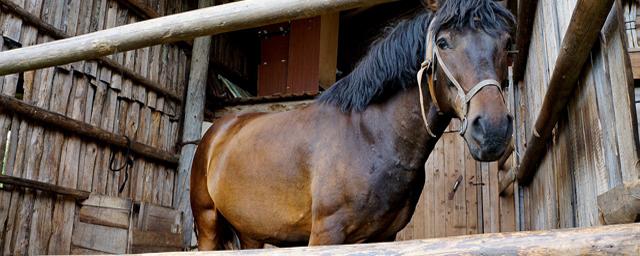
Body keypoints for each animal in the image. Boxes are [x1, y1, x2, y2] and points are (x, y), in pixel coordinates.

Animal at [190, 0, 516, 249]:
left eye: (506, 43)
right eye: (443, 42)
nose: (492, 130)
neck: (369, 136)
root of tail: (216, 132)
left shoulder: (383, 238)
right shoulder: (326, 234)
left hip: (250, 232)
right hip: (207, 224)